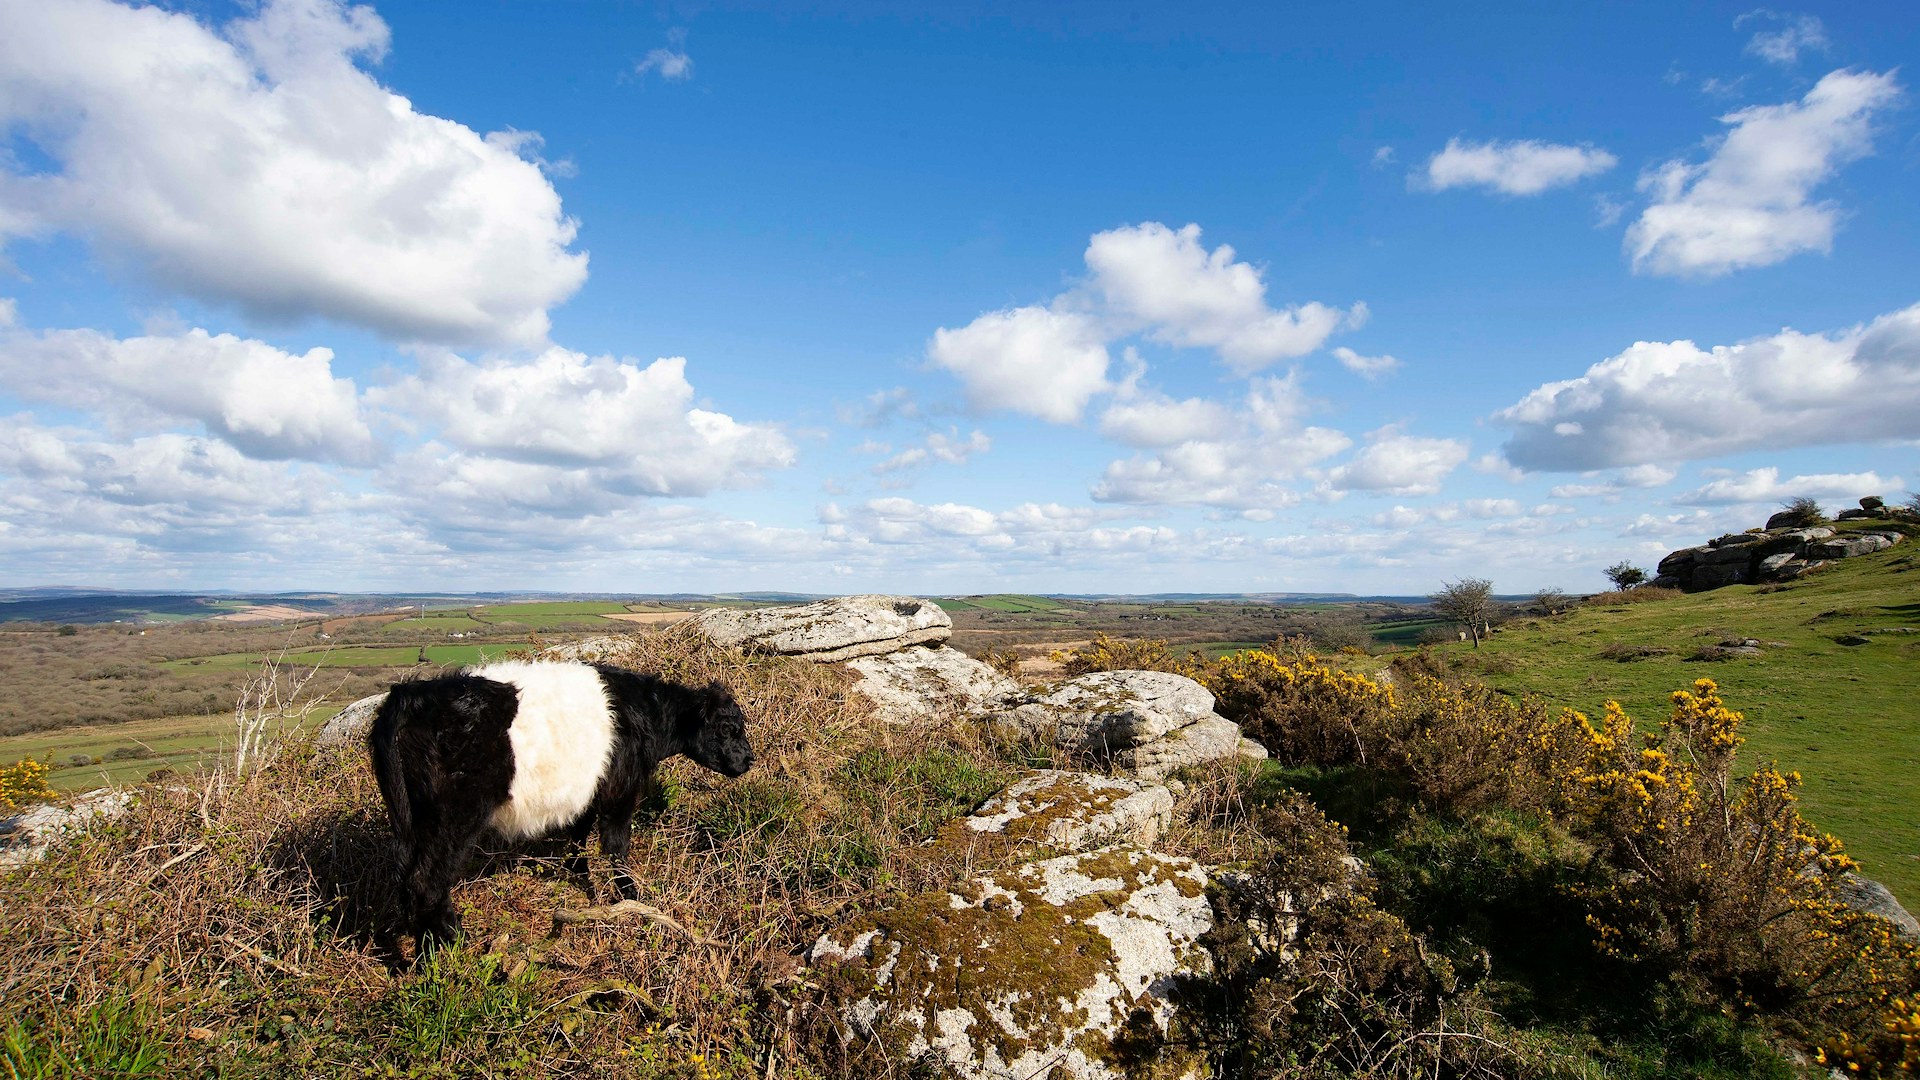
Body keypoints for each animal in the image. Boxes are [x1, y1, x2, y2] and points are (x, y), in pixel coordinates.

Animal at [362, 657, 752, 941]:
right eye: (727, 729)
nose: (749, 759)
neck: (647, 713)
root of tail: (413, 694)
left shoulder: (591, 786)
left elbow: (579, 830)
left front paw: (578, 872)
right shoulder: (620, 788)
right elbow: (616, 844)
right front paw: (630, 897)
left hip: (416, 813)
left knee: (411, 878)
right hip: (456, 814)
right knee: (427, 881)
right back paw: (452, 943)